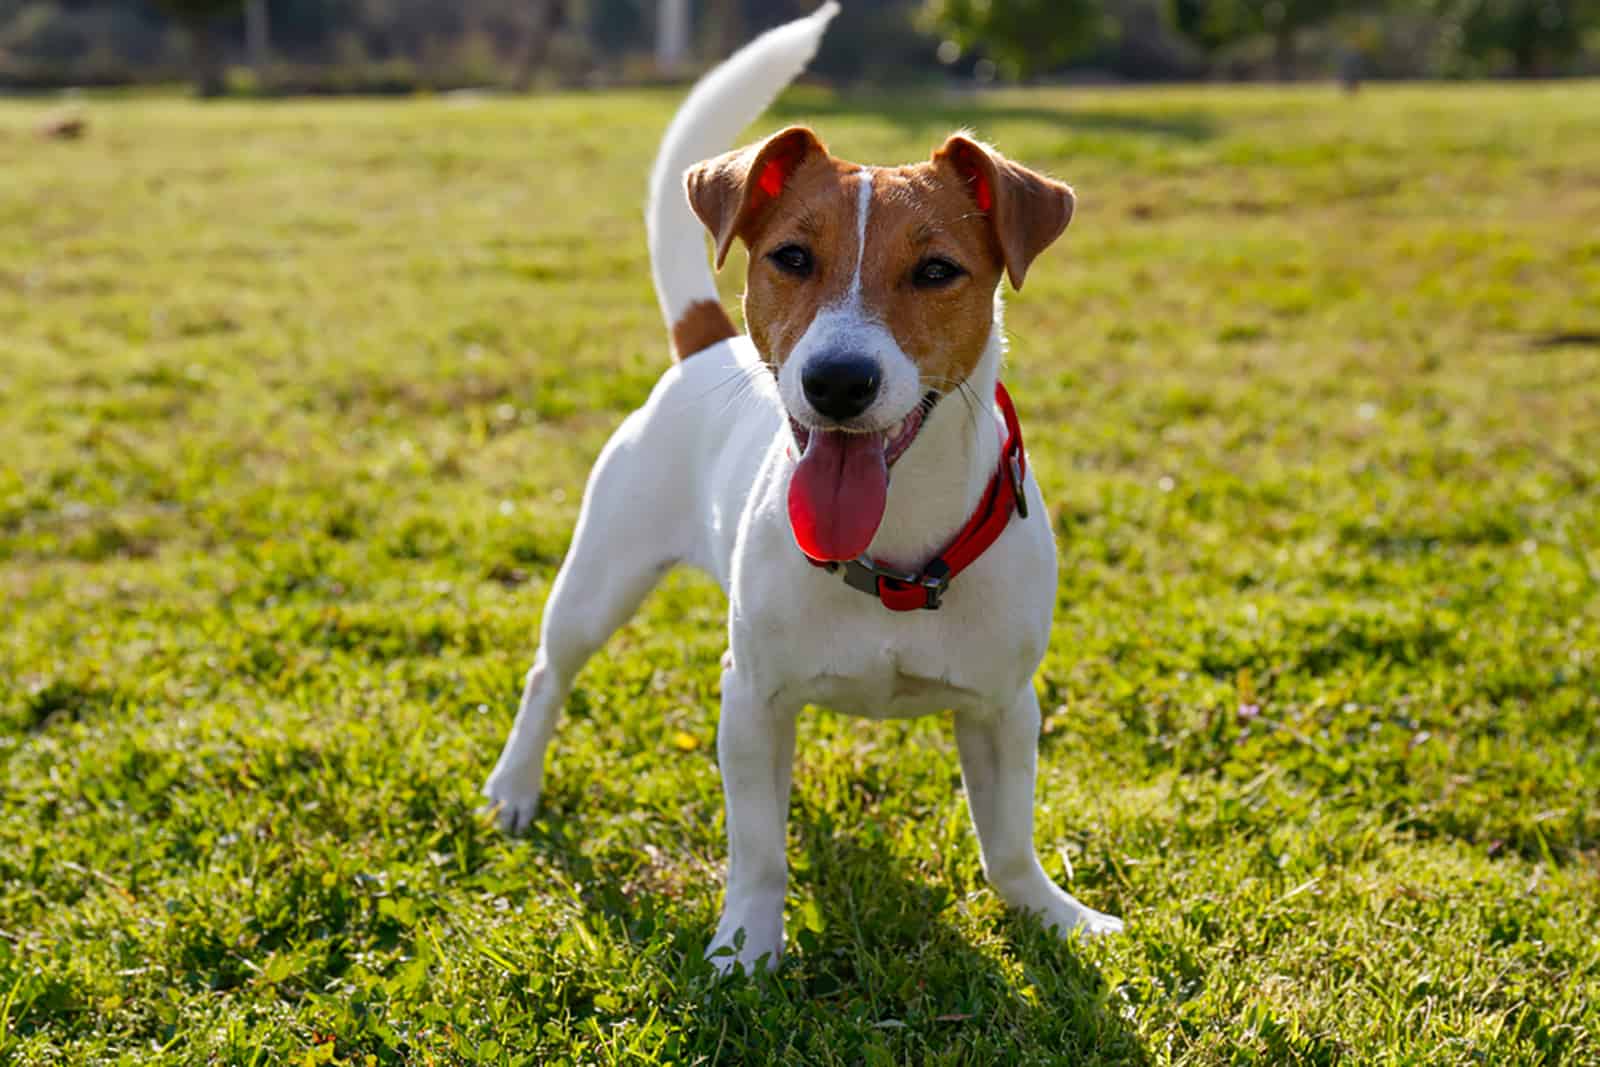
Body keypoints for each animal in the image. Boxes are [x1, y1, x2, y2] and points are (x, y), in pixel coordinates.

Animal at [483, 0, 1126, 972]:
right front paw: (746, 947)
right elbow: (757, 847)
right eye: (790, 257)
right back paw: (516, 783)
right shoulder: (750, 698)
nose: (837, 381)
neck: (893, 554)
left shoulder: (1006, 707)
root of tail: (707, 342)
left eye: (936, 270)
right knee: (548, 671)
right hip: (600, 577)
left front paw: (1052, 915)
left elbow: (1009, 841)